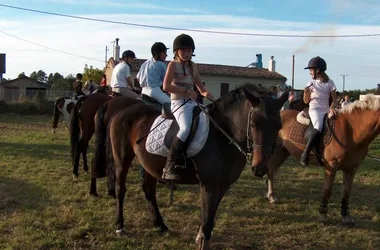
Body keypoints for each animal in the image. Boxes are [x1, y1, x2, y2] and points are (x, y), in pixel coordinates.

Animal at [107, 84, 288, 250]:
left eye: (278, 126)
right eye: (254, 124)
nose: (260, 168)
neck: (223, 135)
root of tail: (122, 111)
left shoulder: (223, 186)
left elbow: (209, 216)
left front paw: (200, 238)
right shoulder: (209, 185)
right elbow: (207, 220)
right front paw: (202, 242)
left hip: (149, 165)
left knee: (149, 191)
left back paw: (160, 225)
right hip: (122, 160)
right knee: (120, 189)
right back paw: (120, 227)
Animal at [264, 94, 380, 227]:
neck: (351, 130)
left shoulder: (351, 169)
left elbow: (347, 192)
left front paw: (346, 217)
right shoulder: (331, 167)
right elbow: (327, 189)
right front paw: (323, 215)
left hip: (283, 152)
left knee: (272, 170)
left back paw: (271, 196)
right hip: (276, 150)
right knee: (271, 170)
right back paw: (271, 196)